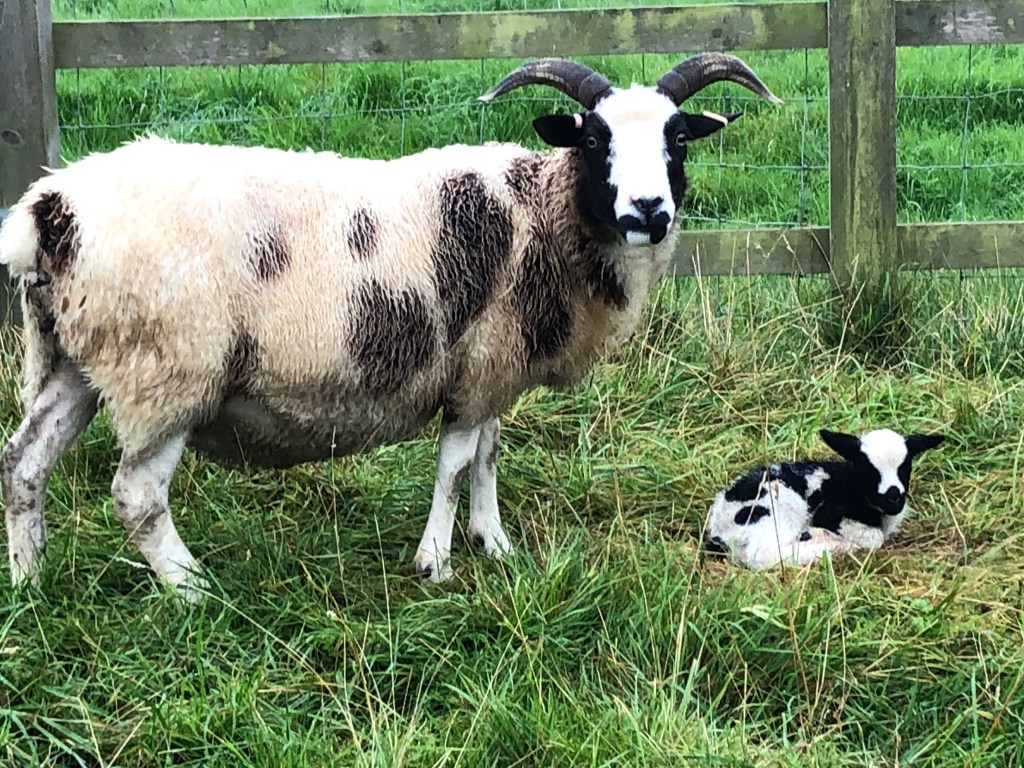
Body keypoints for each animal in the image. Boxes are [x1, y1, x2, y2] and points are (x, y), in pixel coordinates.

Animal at [0, 54, 781, 601]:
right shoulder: (481, 363)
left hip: (75, 358)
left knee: (24, 464)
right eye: (593, 140)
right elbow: (455, 464)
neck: (540, 214)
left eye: (678, 139)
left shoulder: (489, 368)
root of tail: (48, 209)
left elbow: (487, 457)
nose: (648, 211)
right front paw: (435, 562)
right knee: (136, 495)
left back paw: (31, 584)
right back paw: (193, 590)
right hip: (166, 370)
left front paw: (494, 545)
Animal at [704, 428, 945, 569]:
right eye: (867, 469)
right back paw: (829, 546)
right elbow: (874, 538)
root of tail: (717, 528)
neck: (850, 485)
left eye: (906, 467)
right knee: (763, 554)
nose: (894, 499)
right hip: (774, 511)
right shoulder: (829, 513)